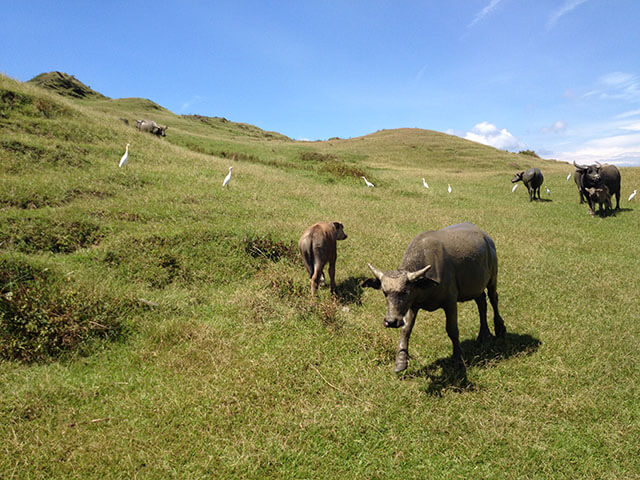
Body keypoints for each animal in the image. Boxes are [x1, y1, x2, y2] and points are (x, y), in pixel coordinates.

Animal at [364, 223, 504, 374]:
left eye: (405, 292)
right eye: (385, 292)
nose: (390, 321)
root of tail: (487, 238)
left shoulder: (450, 302)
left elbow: (452, 330)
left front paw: (458, 359)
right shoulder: (413, 305)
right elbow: (406, 329)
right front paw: (401, 361)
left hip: (492, 278)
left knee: (493, 298)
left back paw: (500, 328)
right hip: (476, 287)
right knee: (481, 303)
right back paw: (483, 335)